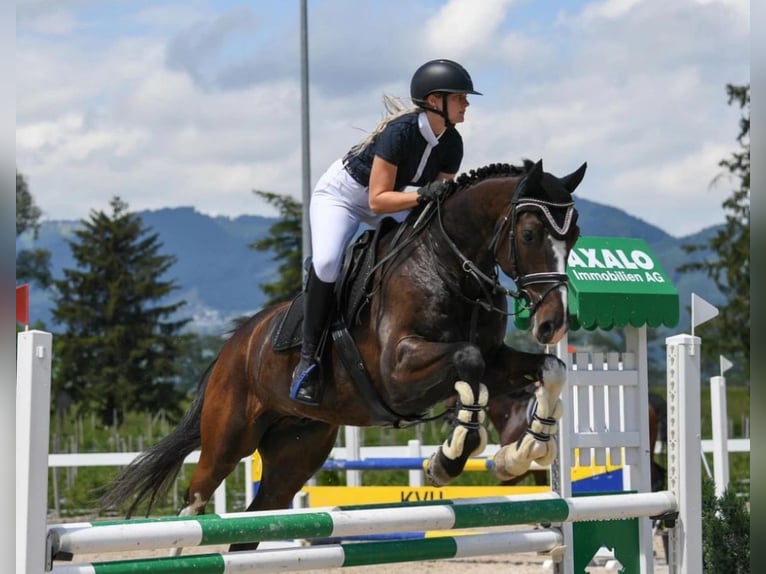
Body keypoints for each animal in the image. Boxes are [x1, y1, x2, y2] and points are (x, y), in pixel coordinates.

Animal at [99, 158, 584, 552]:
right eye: (529, 234)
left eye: (575, 236)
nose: (552, 324)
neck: (449, 267)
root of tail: (233, 345)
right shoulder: (398, 374)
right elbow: (468, 362)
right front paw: (450, 457)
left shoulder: (496, 356)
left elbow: (550, 368)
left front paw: (521, 451)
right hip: (227, 438)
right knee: (196, 503)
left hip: (298, 450)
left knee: (259, 518)